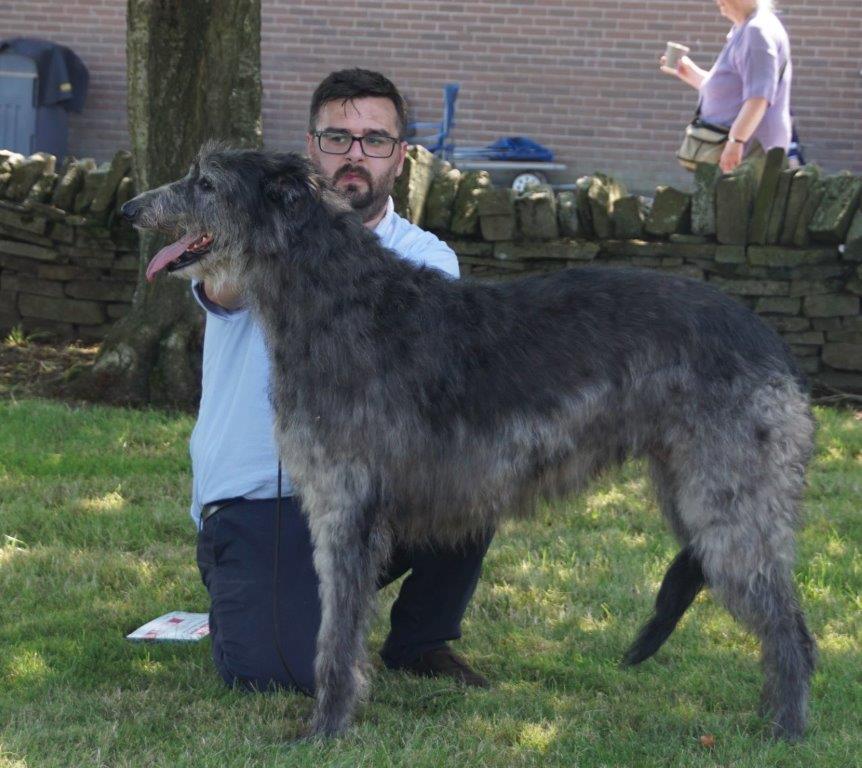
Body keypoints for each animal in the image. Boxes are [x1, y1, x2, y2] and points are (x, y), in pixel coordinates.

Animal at [121, 144, 816, 736]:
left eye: (205, 182)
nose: (129, 209)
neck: (336, 300)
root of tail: (768, 339)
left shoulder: (345, 508)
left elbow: (333, 634)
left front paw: (327, 727)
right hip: (686, 486)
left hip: (729, 501)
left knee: (791, 628)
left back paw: (783, 729)